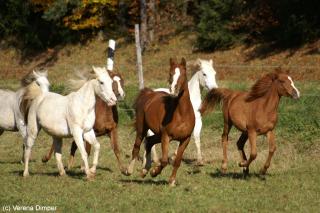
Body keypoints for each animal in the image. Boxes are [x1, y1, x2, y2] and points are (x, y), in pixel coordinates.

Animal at [124, 57, 195, 186]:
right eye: (170, 73)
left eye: (183, 74)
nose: (174, 90)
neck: (181, 114)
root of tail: (149, 93)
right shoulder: (166, 137)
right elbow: (165, 160)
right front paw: (154, 172)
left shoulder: (185, 139)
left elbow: (177, 161)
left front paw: (171, 181)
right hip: (142, 129)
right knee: (137, 147)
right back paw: (129, 170)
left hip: (158, 134)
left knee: (149, 141)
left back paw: (144, 170)